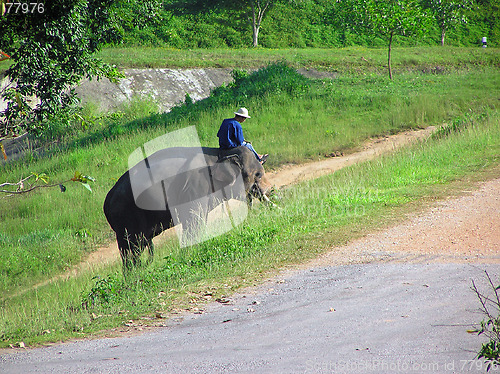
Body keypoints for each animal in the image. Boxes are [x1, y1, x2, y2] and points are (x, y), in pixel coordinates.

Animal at [103, 145, 272, 270]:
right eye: (258, 174)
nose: (270, 190)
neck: (220, 154)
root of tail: (107, 202)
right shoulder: (196, 185)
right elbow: (194, 221)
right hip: (126, 217)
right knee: (132, 248)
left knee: (132, 250)